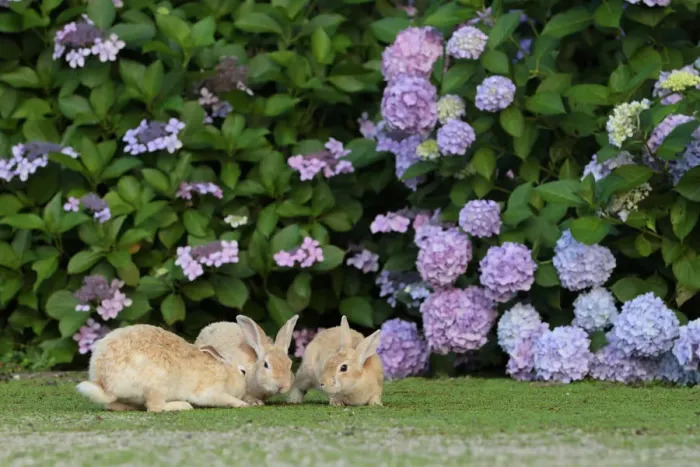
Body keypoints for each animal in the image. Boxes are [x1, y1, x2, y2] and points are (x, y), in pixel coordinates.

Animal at [76, 324, 249, 412]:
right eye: (243, 372)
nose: (244, 395)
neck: (225, 371)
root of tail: (106, 384)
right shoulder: (209, 391)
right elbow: (223, 398)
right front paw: (243, 404)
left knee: (112, 406)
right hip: (158, 385)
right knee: (155, 407)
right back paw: (182, 406)